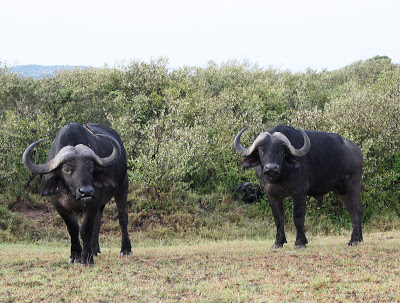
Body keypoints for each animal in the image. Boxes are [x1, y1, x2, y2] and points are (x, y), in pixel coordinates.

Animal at [22, 123, 132, 266]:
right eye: (67, 169)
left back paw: (125, 249)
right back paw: (94, 250)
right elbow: (73, 228)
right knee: (98, 220)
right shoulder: (59, 205)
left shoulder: (92, 202)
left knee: (122, 217)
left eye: (90, 167)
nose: (86, 191)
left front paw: (86, 259)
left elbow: (85, 229)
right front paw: (75, 256)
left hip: (123, 186)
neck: (72, 194)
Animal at [234, 124, 362, 248]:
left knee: (356, 209)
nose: (271, 168)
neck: (280, 176)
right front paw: (278, 242)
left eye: (282, 152)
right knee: (351, 210)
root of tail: (357, 151)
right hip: (340, 190)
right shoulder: (271, 194)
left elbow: (298, 218)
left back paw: (354, 240)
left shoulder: (299, 192)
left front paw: (300, 242)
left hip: (353, 184)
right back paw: (359, 238)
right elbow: (278, 219)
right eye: (261, 151)